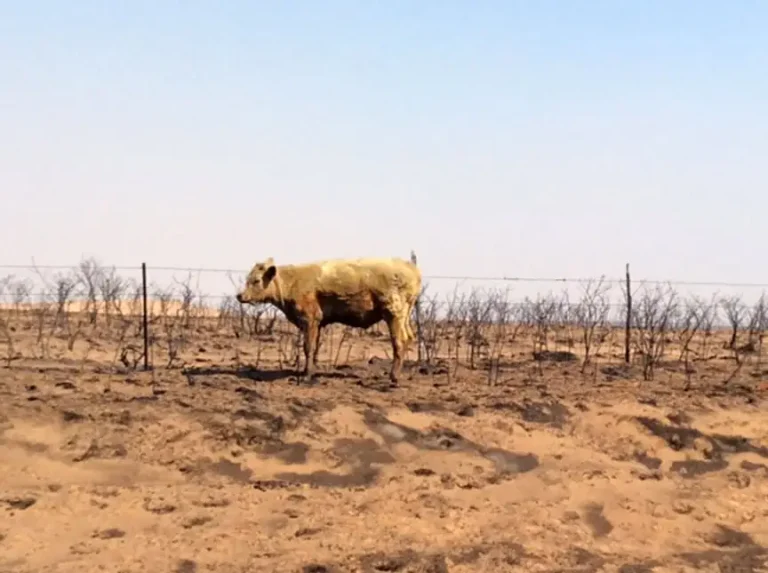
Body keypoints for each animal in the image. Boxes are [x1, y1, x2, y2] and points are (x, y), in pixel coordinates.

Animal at [235, 257, 422, 384]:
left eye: (256, 280)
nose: (240, 296)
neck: (292, 282)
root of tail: (411, 268)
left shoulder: (310, 320)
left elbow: (308, 348)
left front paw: (306, 375)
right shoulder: (317, 323)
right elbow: (315, 348)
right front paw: (311, 371)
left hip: (393, 314)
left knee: (399, 341)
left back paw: (394, 377)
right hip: (404, 317)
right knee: (409, 338)